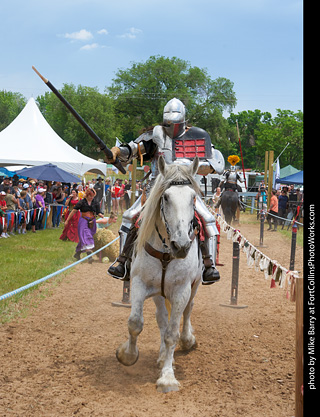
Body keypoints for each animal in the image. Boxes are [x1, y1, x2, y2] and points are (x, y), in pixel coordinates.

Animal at [116, 155, 202, 390]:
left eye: (193, 198)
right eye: (166, 197)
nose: (181, 245)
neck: (165, 252)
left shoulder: (182, 291)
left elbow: (172, 333)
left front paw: (167, 377)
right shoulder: (139, 284)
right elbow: (135, 323)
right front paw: (127, 355)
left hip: (195, 286)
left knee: (188, 311)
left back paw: (187, 340)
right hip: (158, 294)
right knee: (162, 319)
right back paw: (163, 355)